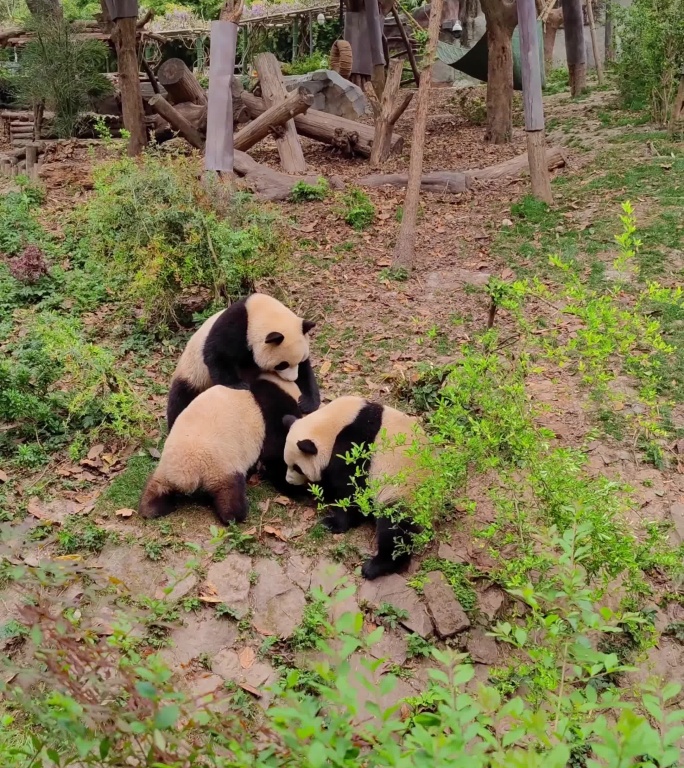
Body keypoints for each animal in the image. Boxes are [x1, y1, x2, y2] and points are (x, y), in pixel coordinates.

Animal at [140, 370, 304, 520]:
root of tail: (187, 472)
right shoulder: (271, 411)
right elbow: (275, 454)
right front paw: (295, 489)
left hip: (167, 469)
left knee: (157, 487)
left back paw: (152, 507)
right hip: (221, 468)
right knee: (229, 492)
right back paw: (235, 515)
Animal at [167, 292, 320, 428]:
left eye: (299, 360)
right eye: (282, 365)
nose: (292, 379)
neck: (257, 312)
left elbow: (305, 371)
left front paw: (307, 402)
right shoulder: (235, 327)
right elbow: (216, 355)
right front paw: (238, 384)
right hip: (193, 374)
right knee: (180, 397)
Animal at [280, 400, 424, 580]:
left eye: (297, 468)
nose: (289, 481)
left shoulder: (357, 445)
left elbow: (351, 489)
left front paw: (332, 523)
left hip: (403, 490)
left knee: (395, 528)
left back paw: (376, 566)